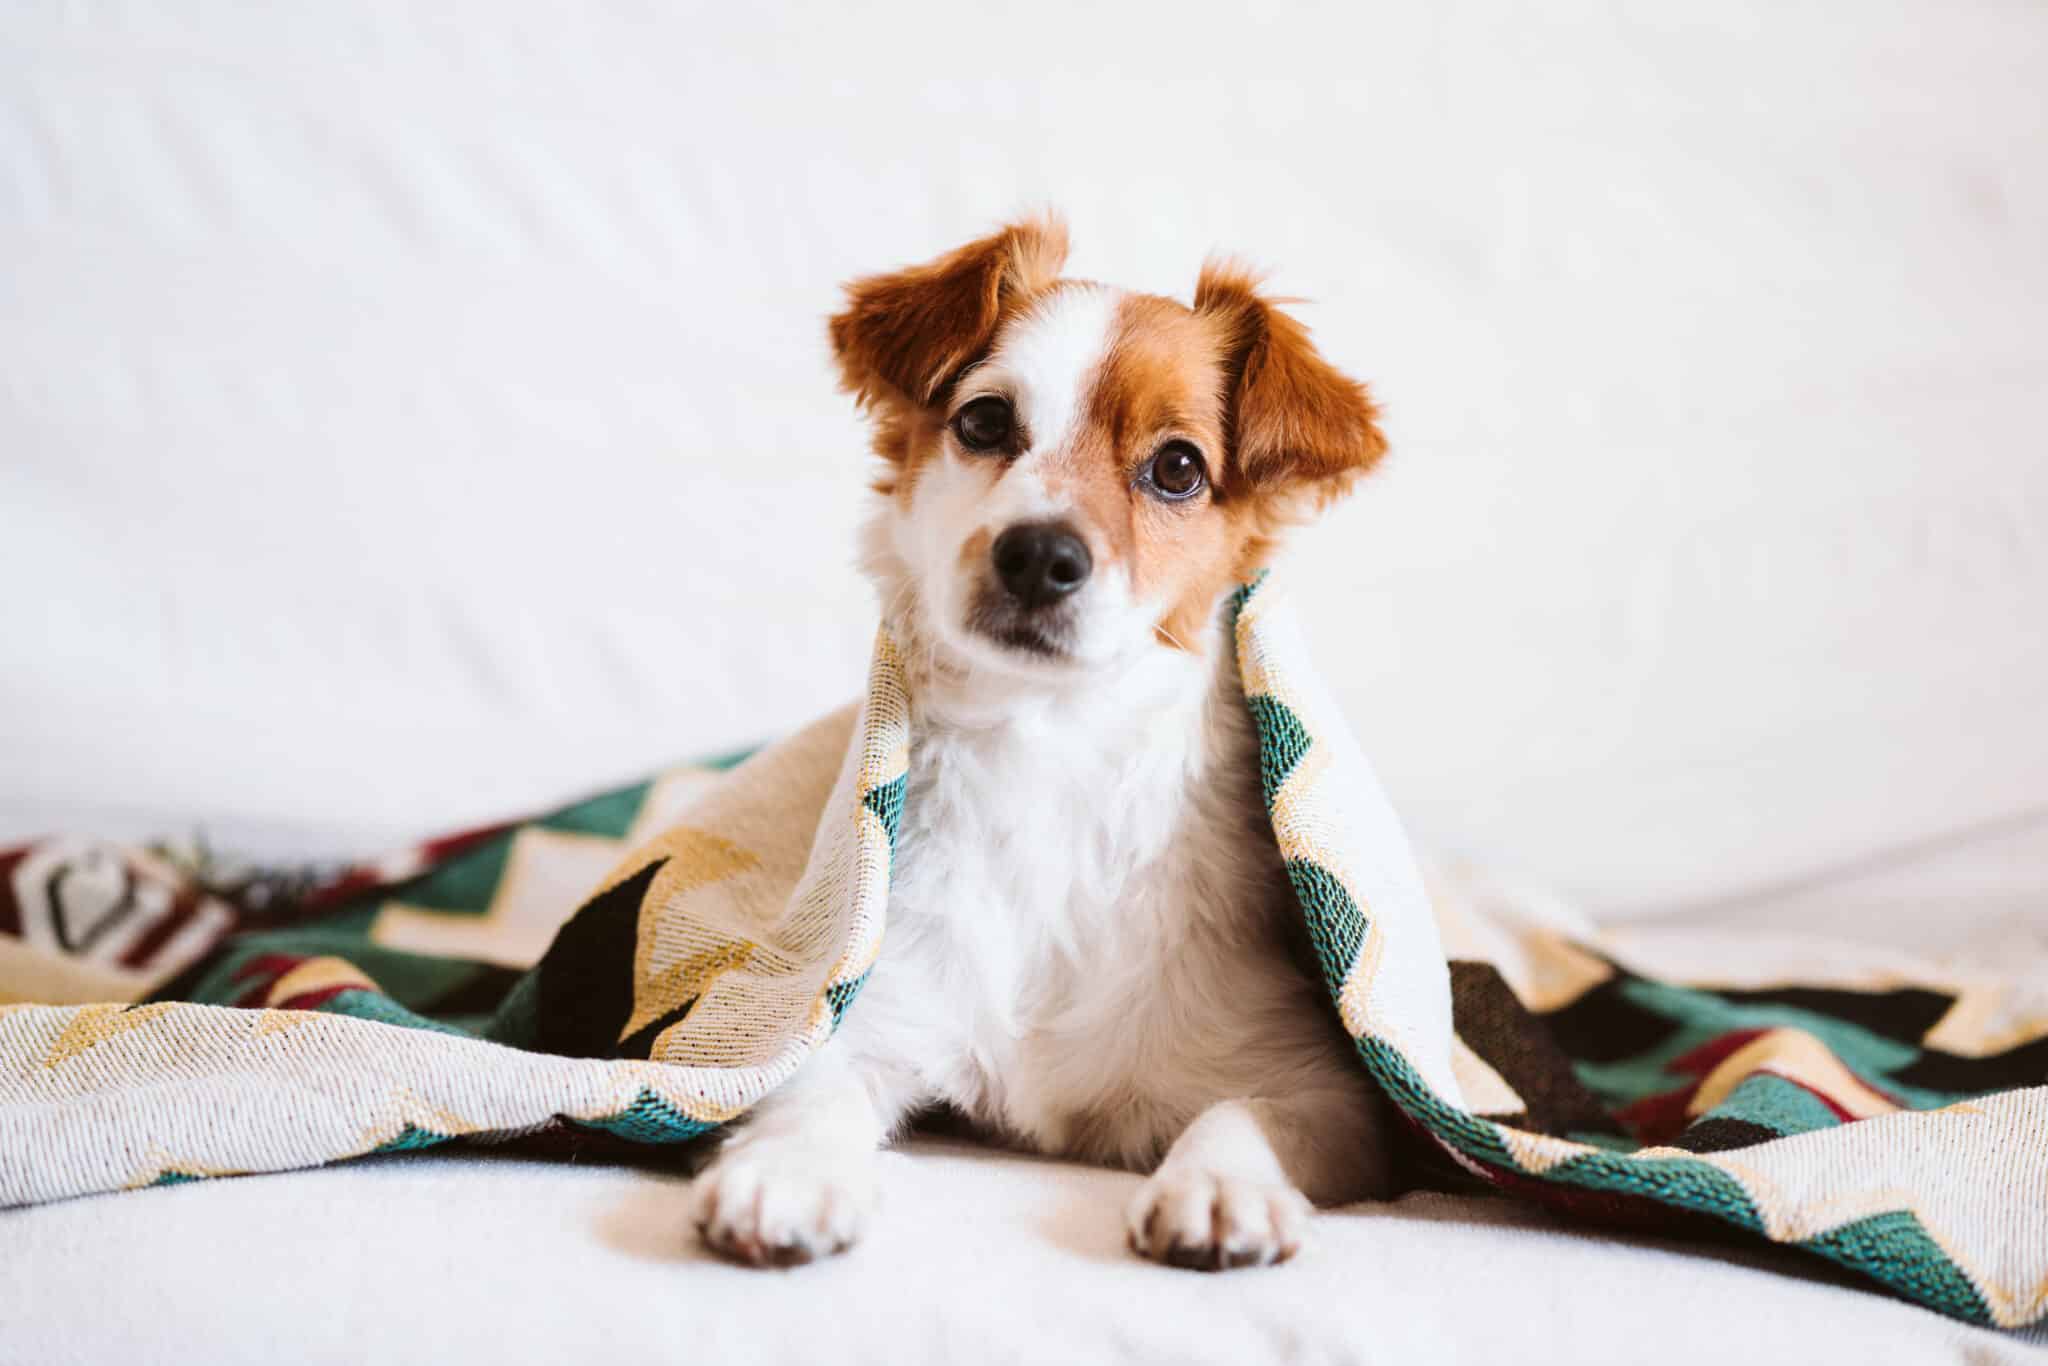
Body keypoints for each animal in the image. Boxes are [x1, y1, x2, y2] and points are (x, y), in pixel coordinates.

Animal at [696, 214, 1400, 1269]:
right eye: (986, 422)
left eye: (1179, 468)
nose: (1038, 554)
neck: (1052, 752)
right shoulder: (861, 1005)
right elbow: (805, 1085)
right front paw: (789, 1170)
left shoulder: (1330, 1090)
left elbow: (1244, 1113)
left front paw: (1217, 1185)